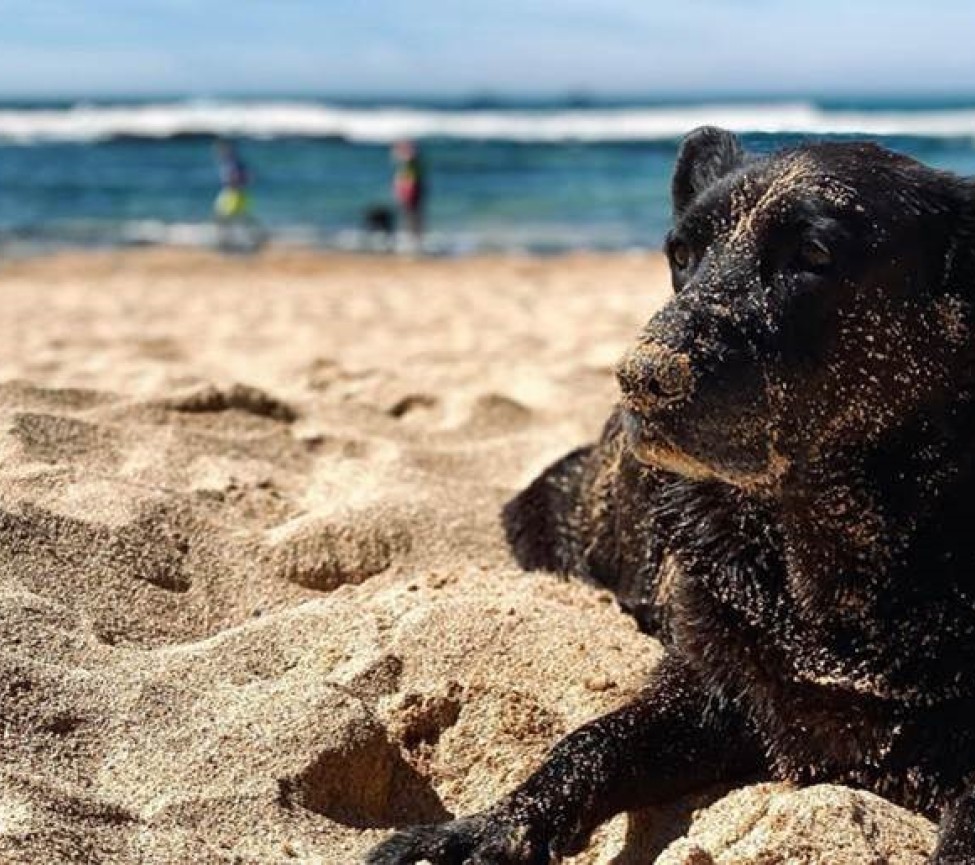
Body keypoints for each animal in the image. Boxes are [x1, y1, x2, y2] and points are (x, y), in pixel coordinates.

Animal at [364, 128, 975, 864]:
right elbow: (589, 744)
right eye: (680, 256)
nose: (641, 377)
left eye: (813, 255)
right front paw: (495, 827)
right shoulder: (709, 689)